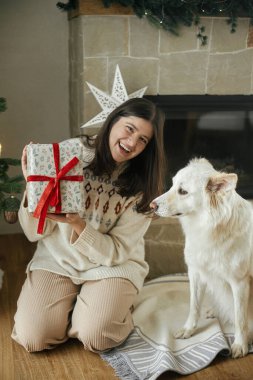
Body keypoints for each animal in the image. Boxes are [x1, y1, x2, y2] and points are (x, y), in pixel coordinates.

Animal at [150, 158, 253, 360]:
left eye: (183, 191)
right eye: (172, 185)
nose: (152, 205)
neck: (211, 228)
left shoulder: (240, 283)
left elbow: (240, 318)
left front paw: (240, 344)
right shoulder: (196, 273)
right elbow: (194, 306)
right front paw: (188, 329)